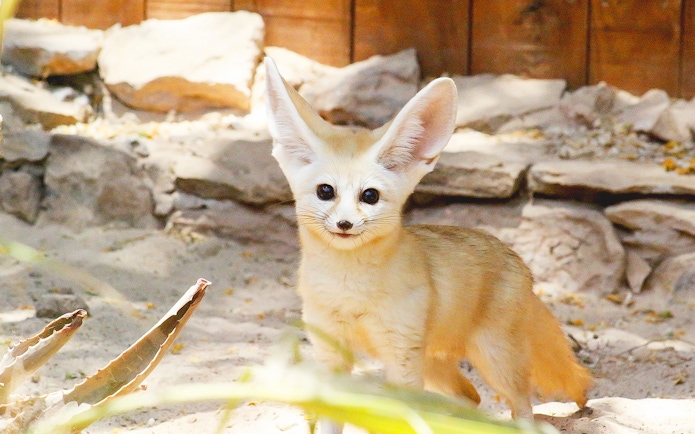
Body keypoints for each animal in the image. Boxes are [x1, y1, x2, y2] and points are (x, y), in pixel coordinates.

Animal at [264, 57, 592, 431]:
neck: (351, 290)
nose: (345, 224)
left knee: (521, 406)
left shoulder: (401, 358)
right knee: (471, 397)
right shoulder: (330, 351)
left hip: (494, 359)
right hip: (436, 366)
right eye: (325, 191)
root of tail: (517, 260)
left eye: (370, 196)